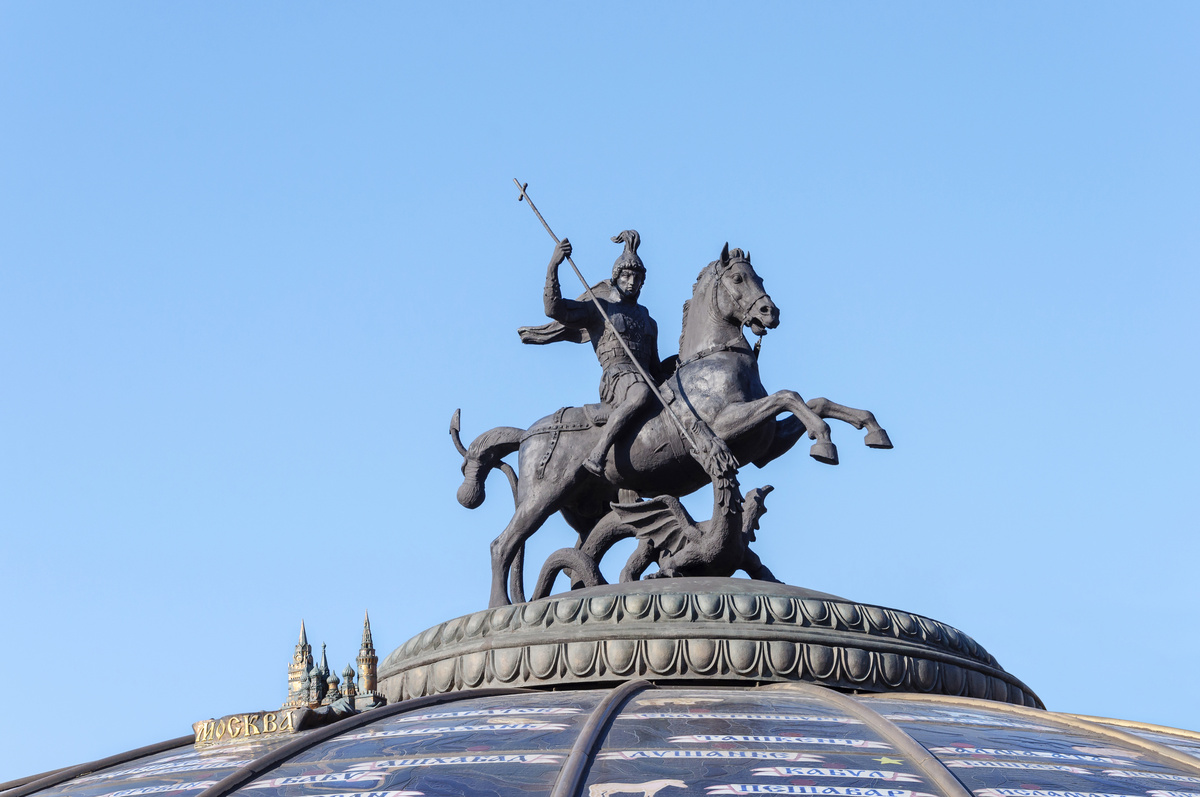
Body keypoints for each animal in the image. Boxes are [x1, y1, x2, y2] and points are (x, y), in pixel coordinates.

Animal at [458, 242, 892, 604]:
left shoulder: (765, 447)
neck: (716, 359)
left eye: (760, 279)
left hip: (584, 509)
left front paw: (870, 429)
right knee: (503, 544)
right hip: (543, 495)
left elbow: (814, 401)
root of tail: (528, 433)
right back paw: (500, 607)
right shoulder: (726, 428)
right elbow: (790, 396)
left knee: (579, 551)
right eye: (738, 278)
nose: (770, 313)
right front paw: (825, 442)